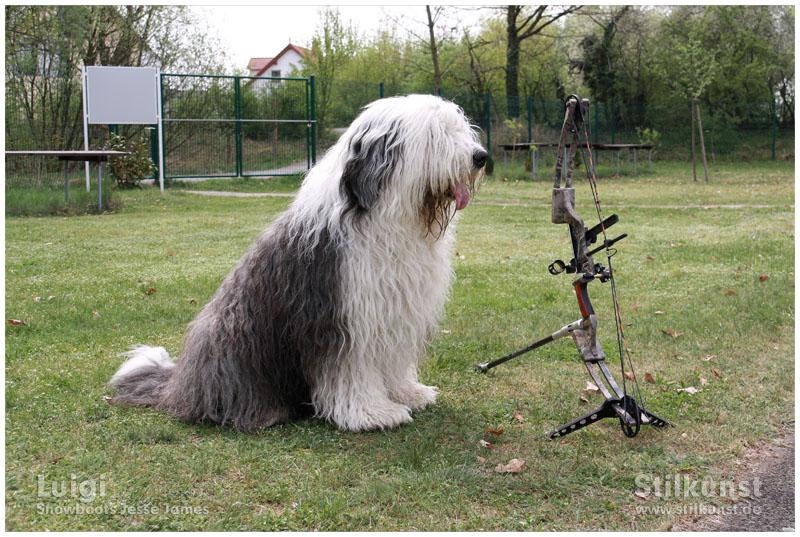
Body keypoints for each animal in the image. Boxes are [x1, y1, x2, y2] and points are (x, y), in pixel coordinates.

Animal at [109, 94, 488, 432]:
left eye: (460, 128)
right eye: (436, 134)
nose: (481, 156)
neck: (388, 219)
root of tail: (179, 386)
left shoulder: (395, 312)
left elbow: (392, 362)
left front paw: (408, 394)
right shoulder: (340, 317)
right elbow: (350, 370)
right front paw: (371, 412)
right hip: (237, 343)